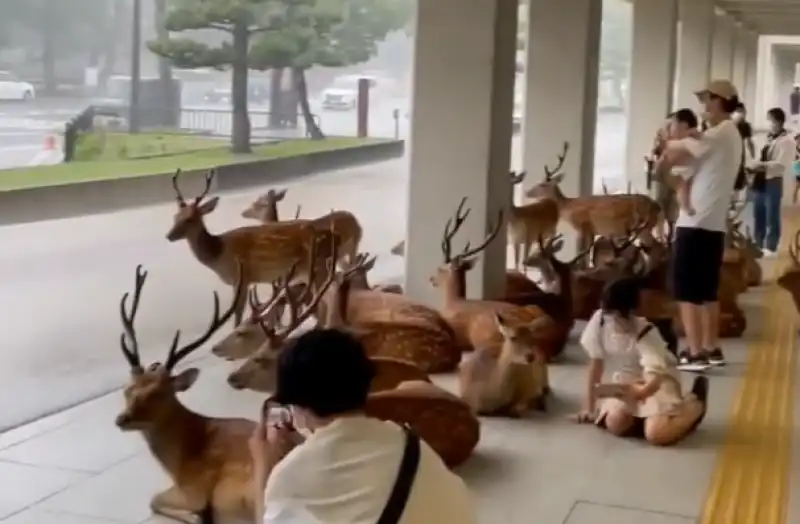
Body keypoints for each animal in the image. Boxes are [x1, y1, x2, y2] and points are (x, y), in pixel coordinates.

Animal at [113, 262, 284, 524]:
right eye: (127, 390)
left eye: (158, 393)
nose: (122, 418)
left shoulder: (193, 490)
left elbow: (154, 499)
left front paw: (197, 516)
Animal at [165, 171, 334, 328]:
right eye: (175, 216)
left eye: (189, 219)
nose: (169, 236)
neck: (219, 253)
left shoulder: (241, 278)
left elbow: (237, 312)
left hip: (317, 267)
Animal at [524, 140, 664, 249]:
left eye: (542, 184)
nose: (526, 192)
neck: (569, 207)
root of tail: (657, 207)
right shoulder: (591, 232)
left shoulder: (583, 227)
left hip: (643, 228)